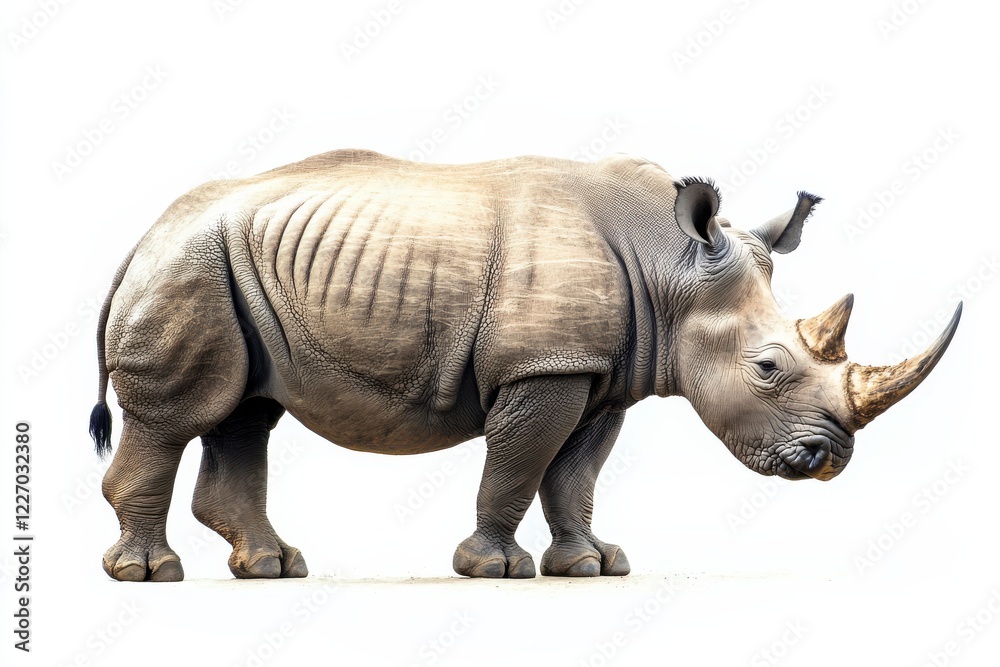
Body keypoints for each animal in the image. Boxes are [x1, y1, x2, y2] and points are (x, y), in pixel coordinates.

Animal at [89, 149, 960, 582]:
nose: (830, 459)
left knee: (246, 411)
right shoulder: (544, 365)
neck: (671, 268)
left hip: (226, 267)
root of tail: (144, 231)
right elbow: (519, 461)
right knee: (182, 415)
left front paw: (593, 565)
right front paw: (495, 568)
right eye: (770, 367)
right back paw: (150, 574)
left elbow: (575, 473)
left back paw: (273, 567)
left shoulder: (602, 372)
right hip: (192, 264)